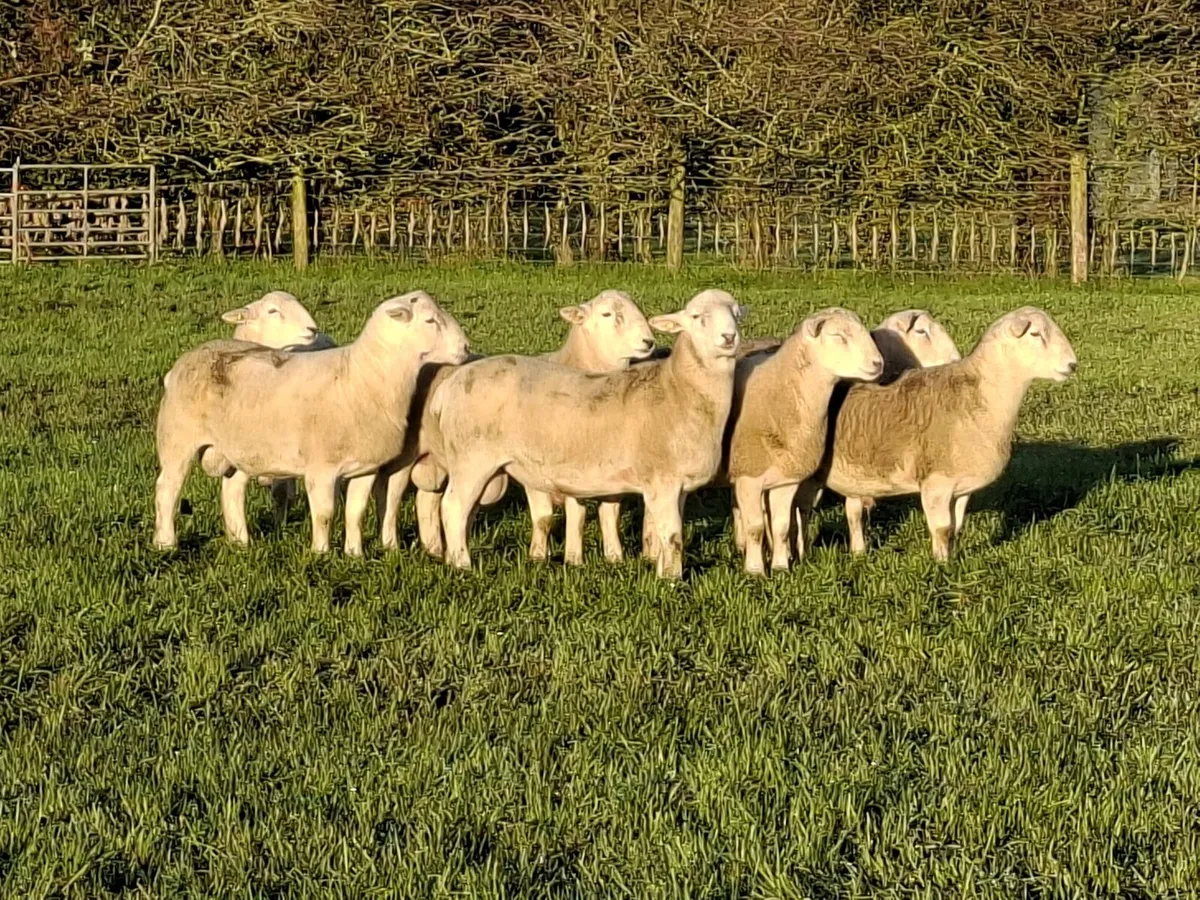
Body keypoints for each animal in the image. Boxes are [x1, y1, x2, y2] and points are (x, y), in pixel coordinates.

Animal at [153, 291, 469, 556]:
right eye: (430, 320)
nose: (466, 347)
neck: (361, 378)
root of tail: (188, 357)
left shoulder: (365, 467)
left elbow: (356, 511)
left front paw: (354, 554)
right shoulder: (321, 468)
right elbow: (325, 513)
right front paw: (320, 553)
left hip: (242, 449)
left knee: (232, 491)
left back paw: (242, 541)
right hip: (177, 438)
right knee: (167, 489)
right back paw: (166, 543)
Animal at [378, 290, 657, 564]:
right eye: (607, 314)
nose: (649, 342)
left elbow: (610, 512)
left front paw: (614, 558)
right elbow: (556, 515)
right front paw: (564, 559)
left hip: (440, 459)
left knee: (428, 500)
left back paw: (435, 550)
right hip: (423, 455)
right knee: (397, 496)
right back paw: (398, 547)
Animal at [427, 289, 745, 579]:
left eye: (737, 314)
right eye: (697, 317)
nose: (730, 338)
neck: (678, 390)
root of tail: (450, 385)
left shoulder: (679, 488)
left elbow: (664, 535)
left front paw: (662, 570)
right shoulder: (662, 481)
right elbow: (672, 536)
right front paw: (672, 581)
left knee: (465, 510)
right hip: (472, 459)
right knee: (454, 507)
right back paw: (461, 565)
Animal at [714, 308, 885, 575]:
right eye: (838, 336)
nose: (879, 363)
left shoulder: (787, 478)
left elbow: (782, 525)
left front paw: (780, 567)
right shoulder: (749, 477)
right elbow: (755, 527)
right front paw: (755, 571)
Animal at [795, 306, 1077, 561]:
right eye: (1036, 334)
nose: (1073, 364)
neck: (978, 399)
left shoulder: (962, 488)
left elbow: (956, 526)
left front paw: (951, 559)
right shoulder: (936, 483)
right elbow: (941, 528)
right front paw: (941, 566)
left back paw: (855, 553)